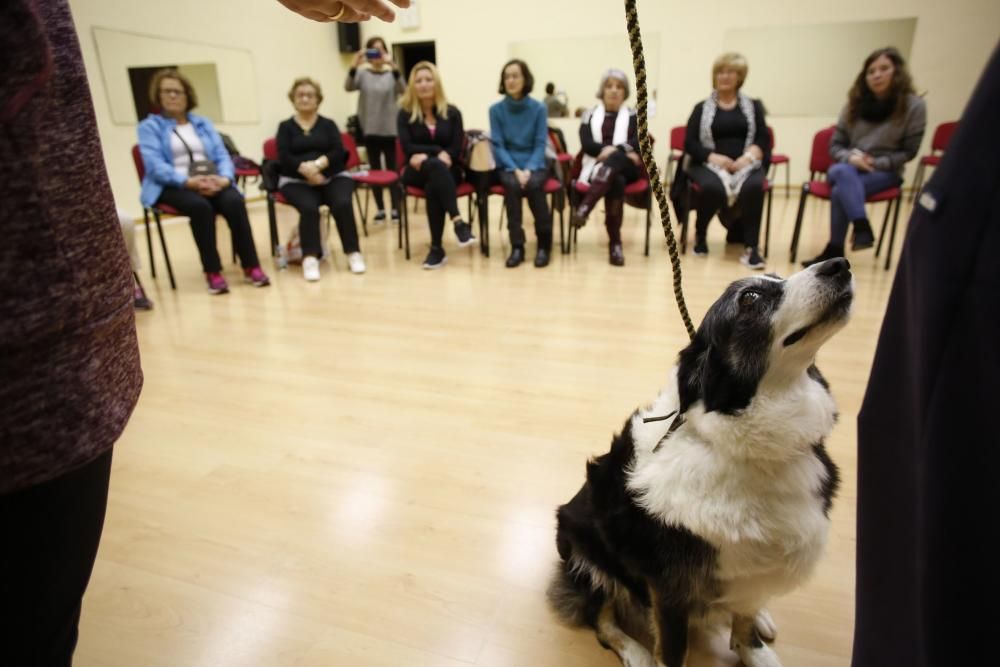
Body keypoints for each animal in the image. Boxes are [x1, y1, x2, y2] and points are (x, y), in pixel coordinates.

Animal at [548, 258, 852, 664]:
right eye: (750, 298)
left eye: (779, 277)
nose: (840, 264)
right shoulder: (670, 587)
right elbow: (673, 650)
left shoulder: (754, 567)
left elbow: (744, 616)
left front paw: (754, 650)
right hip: (587, 551)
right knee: (603, 619)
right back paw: (636, 653)